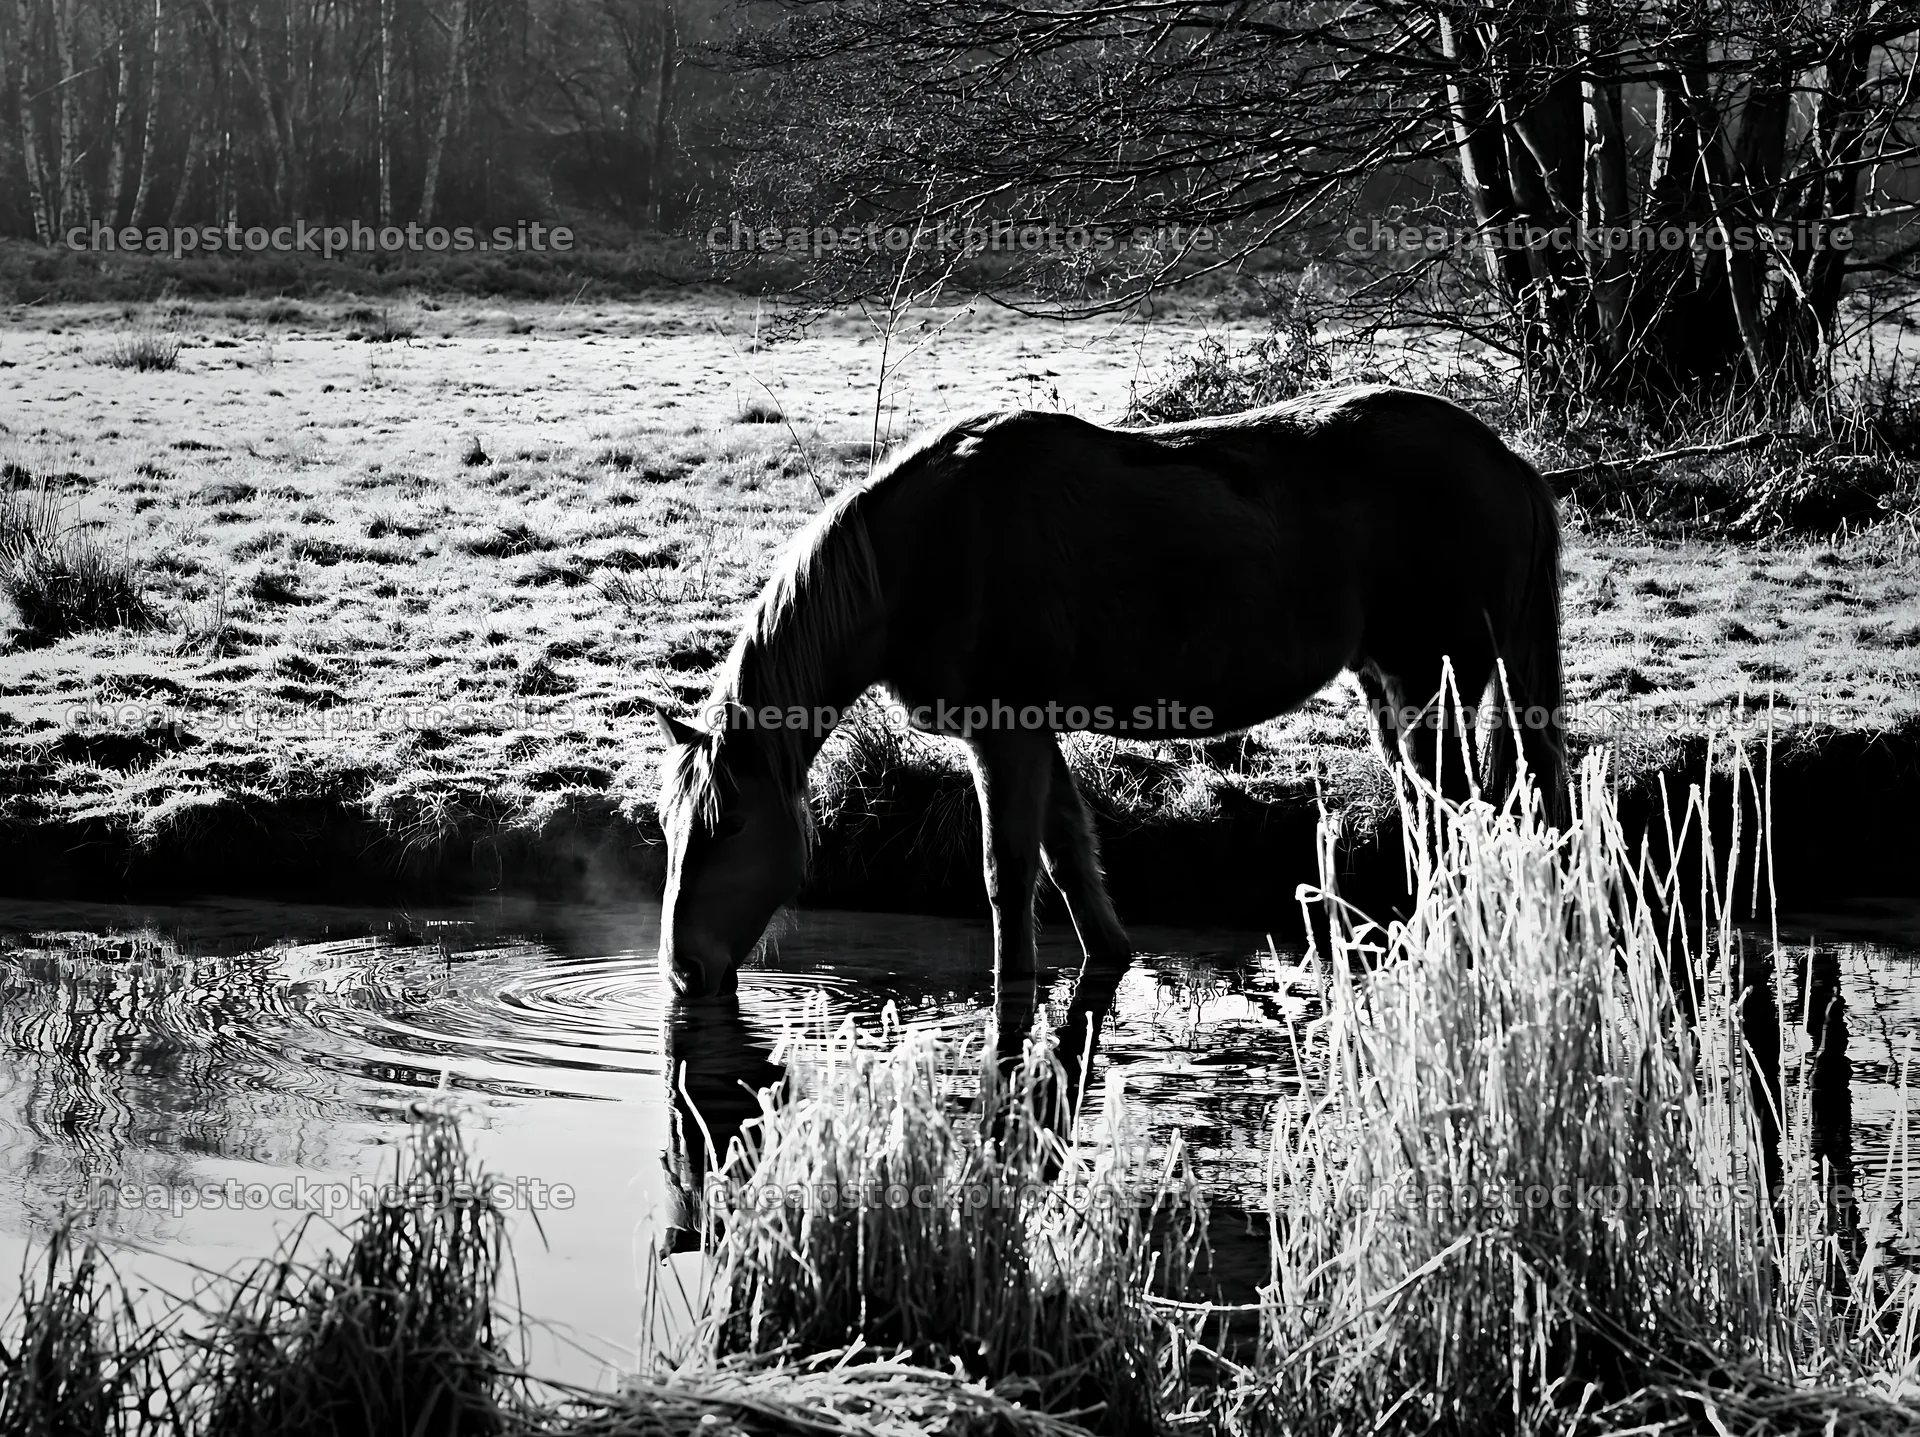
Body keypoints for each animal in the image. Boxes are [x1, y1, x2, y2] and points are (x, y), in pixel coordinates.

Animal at [652, 384, 1566, 1000]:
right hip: (1395, 689)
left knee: (1456, 824)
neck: (927, 551)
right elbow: (1070, 861)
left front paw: (1013, 990)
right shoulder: (1033, 734)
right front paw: (1107, 960)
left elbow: (1007, 873)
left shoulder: (1002, 732)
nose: (684, 966)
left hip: (1428, 691)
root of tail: (1507, 461)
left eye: (729, 824)